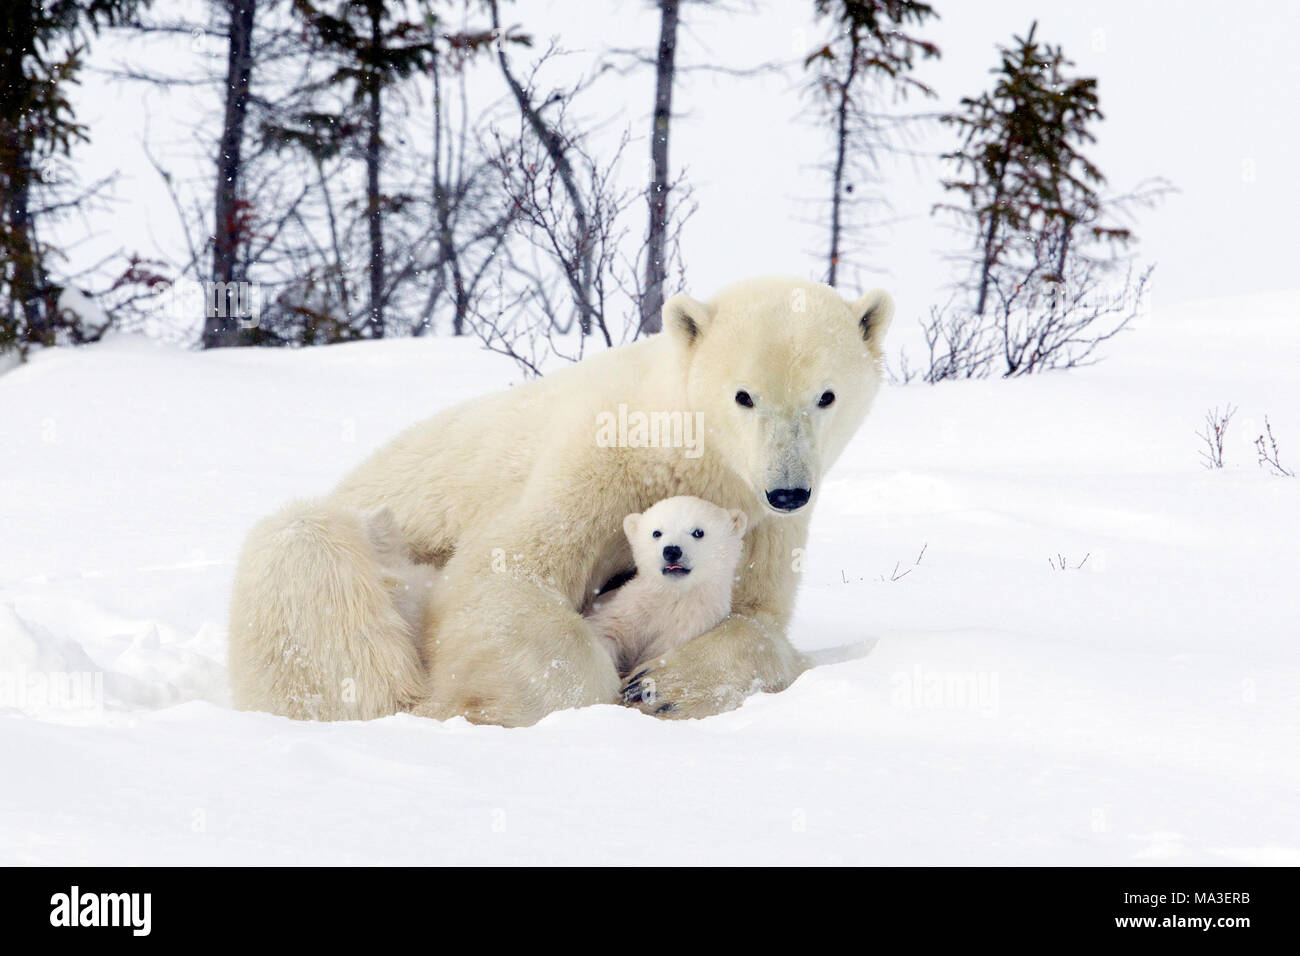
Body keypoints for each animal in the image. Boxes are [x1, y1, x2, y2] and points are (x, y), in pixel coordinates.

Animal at [586, 496, 748, 692]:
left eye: (698, 532)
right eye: (657, 533)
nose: (672, 550)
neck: (674, 594)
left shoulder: (694, 622)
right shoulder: (631, 607)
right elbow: (607, 629)